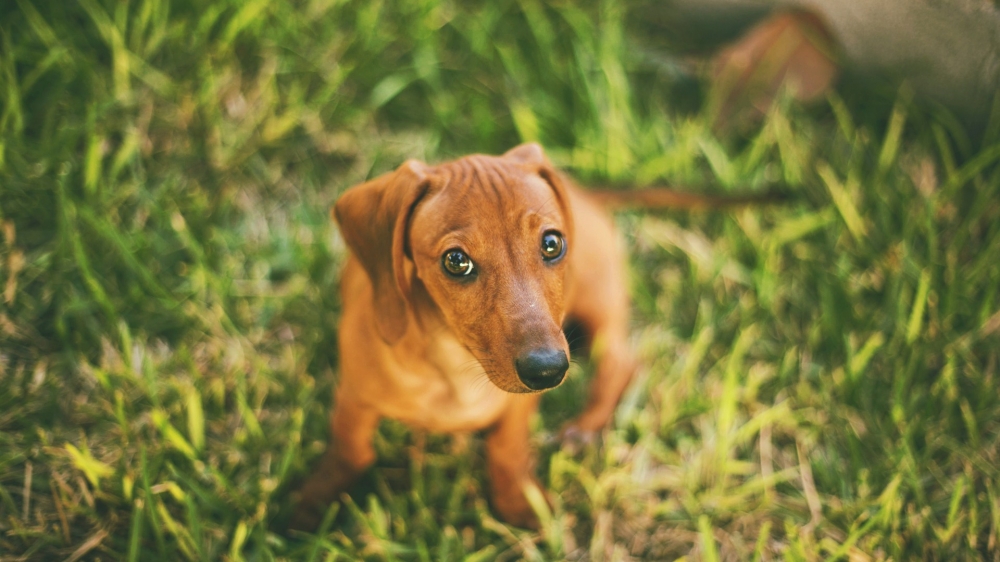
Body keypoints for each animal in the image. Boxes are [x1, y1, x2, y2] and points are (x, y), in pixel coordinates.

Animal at [292, 142, 764, 528]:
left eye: (552, 244)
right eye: (456, 261)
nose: (548, 371)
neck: (456, 366)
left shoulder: (519, 406)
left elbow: (507, 448)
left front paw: (519, 502)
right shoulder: (354, 396)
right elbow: (350, 450)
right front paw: (311, 504)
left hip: (597, 300)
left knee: (622, 362)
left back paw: (584, 428)